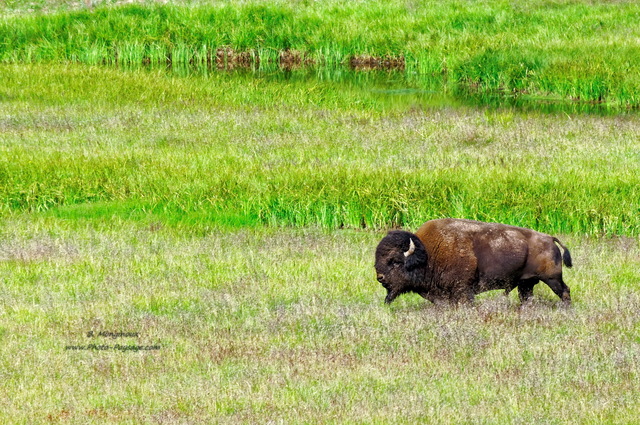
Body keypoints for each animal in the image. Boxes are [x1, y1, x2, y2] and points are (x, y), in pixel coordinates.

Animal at [372, 219, 572, 304]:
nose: (380, 277)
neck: (428, 254)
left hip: (552, 279)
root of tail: (549, 238)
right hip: (526, 283)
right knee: (527, 298)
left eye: (394, 261)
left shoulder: (463, 290)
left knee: (565, 291)